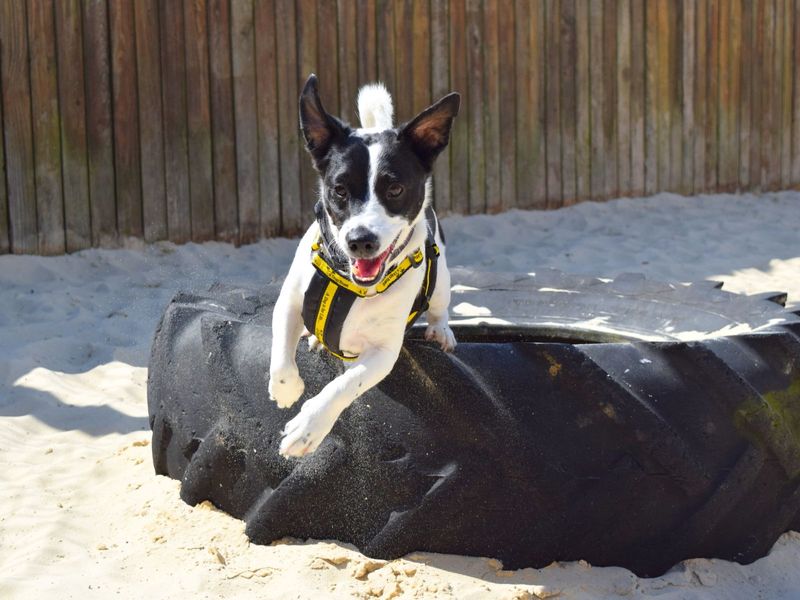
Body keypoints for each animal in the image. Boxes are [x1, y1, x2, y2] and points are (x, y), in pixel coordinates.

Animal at [268, 76, 460, 460]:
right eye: (339, 190)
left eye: (395, 188)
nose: (361, 240)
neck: (352, 286)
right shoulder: (290, 301)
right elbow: (281, 357)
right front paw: (286, 387)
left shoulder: (384, 352)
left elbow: (344, 385)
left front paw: (308, 428)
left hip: (441, 275)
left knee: (440, 304)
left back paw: (441, 330)